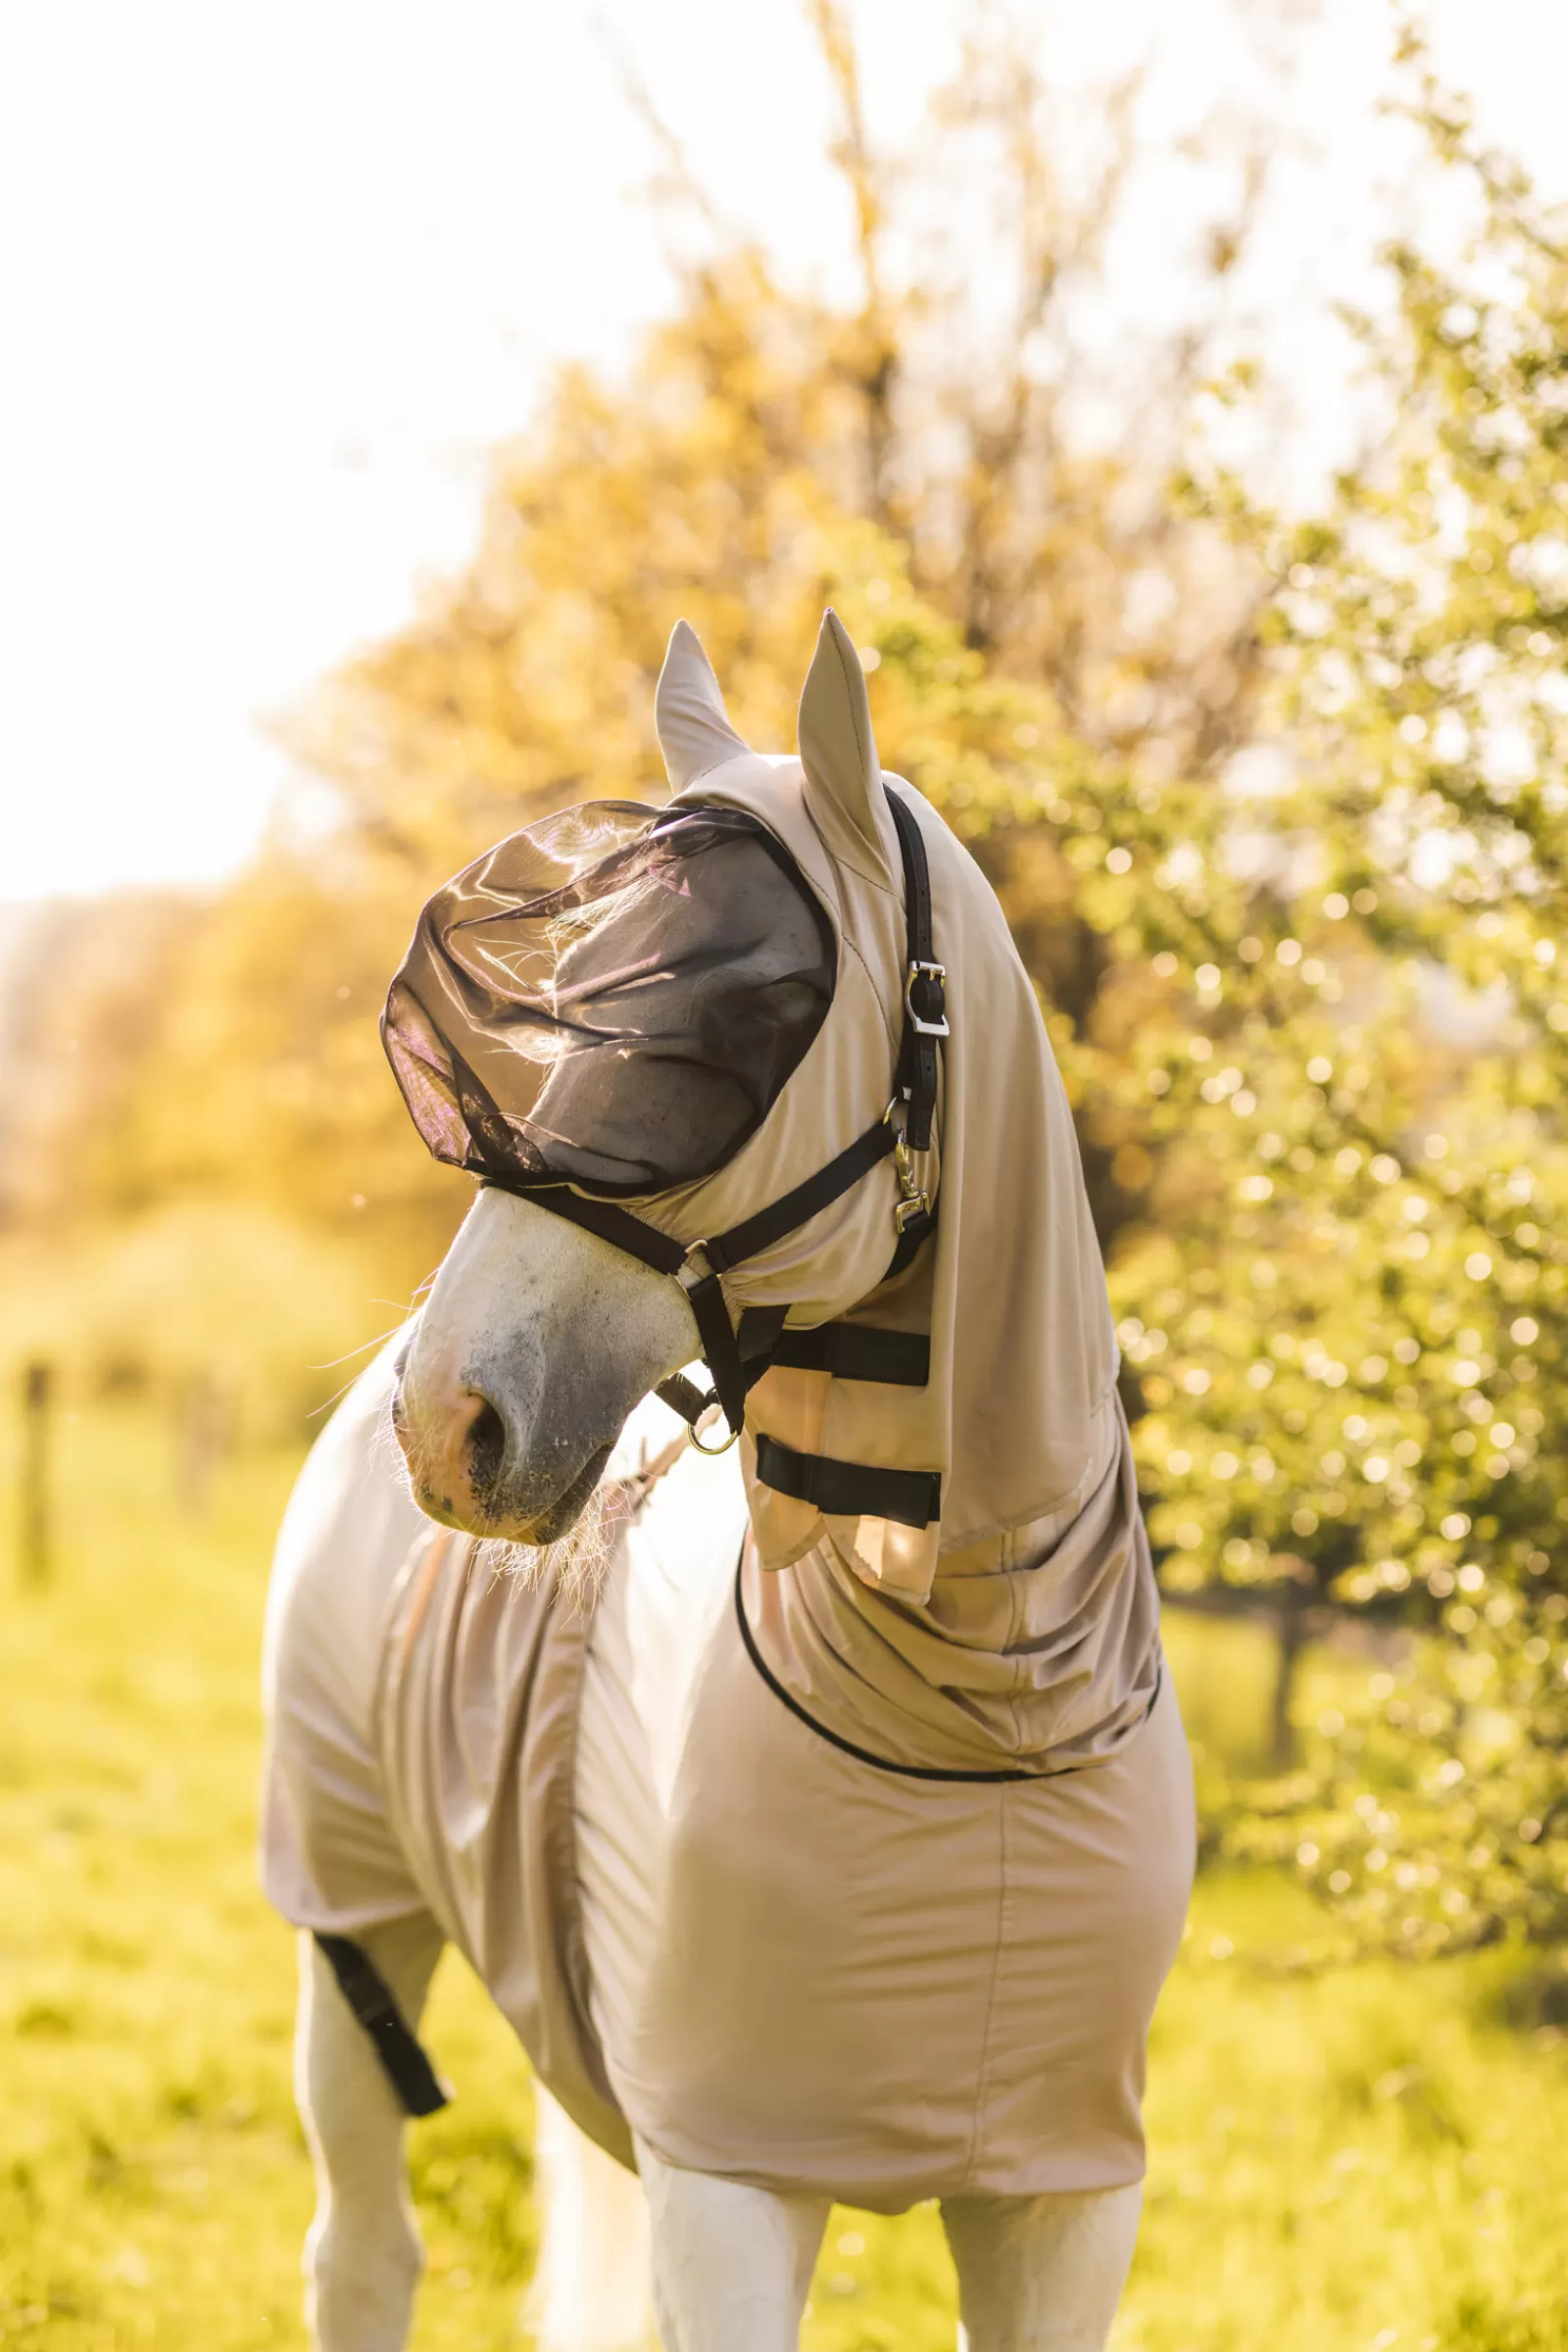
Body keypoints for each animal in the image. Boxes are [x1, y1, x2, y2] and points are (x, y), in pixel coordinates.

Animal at [263, 612, 1194, 2352]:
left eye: (733, 1017)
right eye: (571, 998)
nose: (448, 1416)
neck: (978, 1702)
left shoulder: (1063, 2203)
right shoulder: (730, 2182)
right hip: (354, 1926)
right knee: (363, 2253)